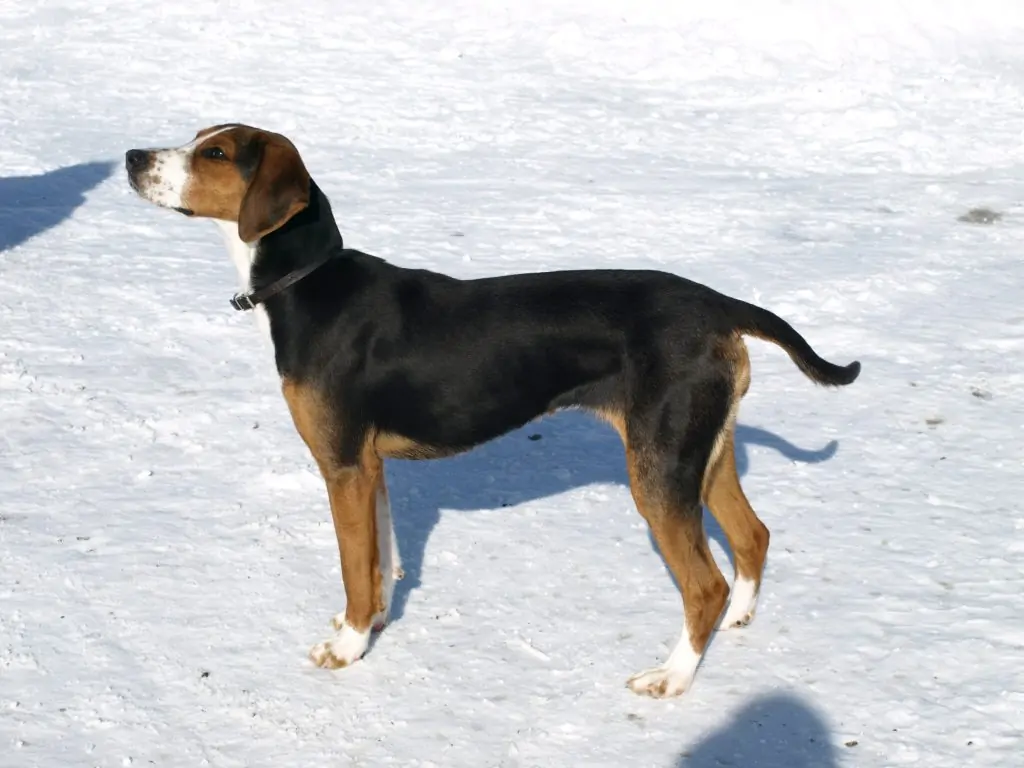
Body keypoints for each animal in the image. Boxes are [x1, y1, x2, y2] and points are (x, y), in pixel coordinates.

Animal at [125, 123, 864, 700]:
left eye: (215, 153)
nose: (131, 156)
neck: (309, 284)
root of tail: (717, 304)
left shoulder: (341, 466)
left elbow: (354, 568)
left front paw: (348, 648)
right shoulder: (369, 467)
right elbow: (380, 561)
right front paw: (375, 625)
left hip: (659, 469)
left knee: (703, 583)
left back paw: (672, 678)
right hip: (700, 454)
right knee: (753, 536)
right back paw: (736, 621)